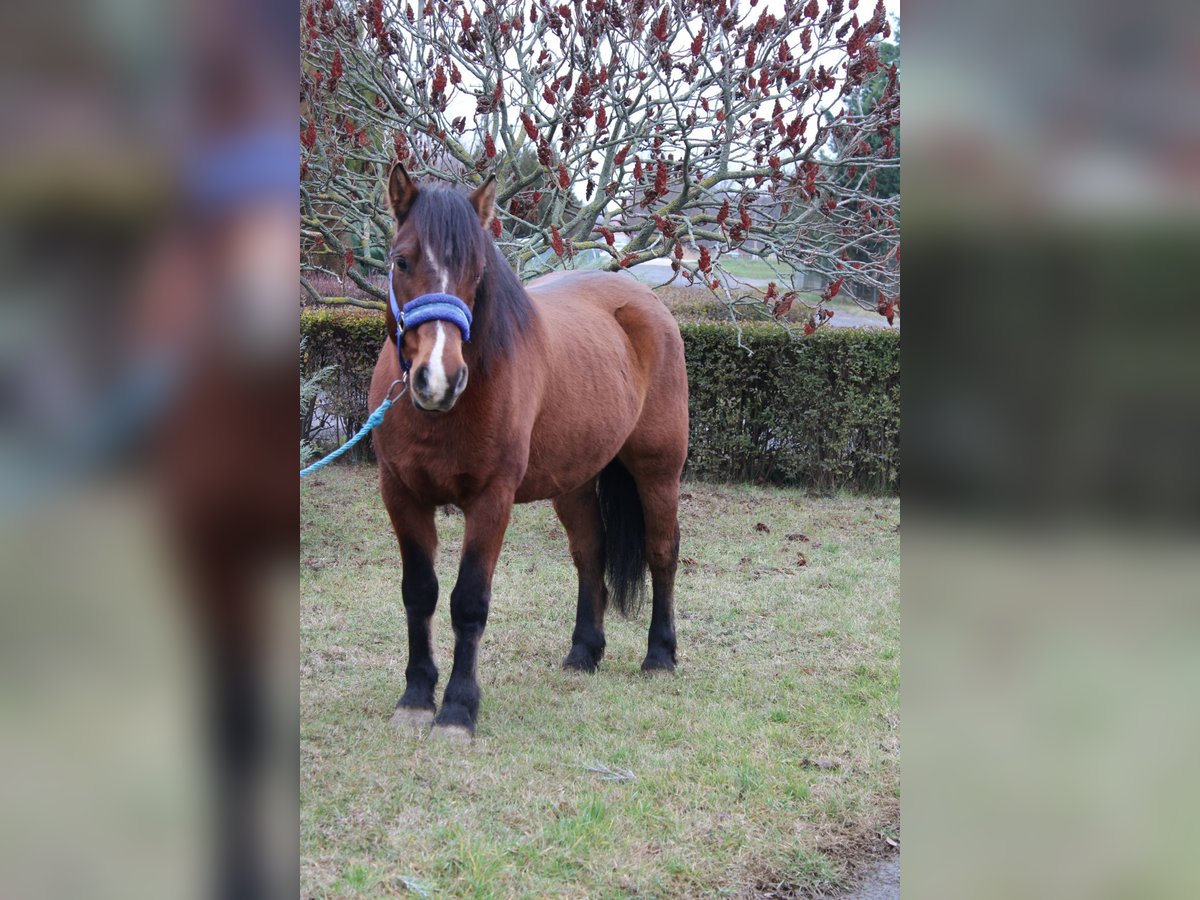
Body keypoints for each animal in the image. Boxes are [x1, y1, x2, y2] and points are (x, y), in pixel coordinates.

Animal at [368, 163, 689, 739]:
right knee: (591, 553)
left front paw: (458, 708)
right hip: (576, 482)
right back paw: (584, 652)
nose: (438, 379)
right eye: (401, 261)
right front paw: (416, 696)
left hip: (658, 472)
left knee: (661, 553)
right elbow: (419, 592)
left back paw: (659, 656)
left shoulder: (491, 501)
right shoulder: (401, 495)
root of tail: (645, 302)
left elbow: (469, 602)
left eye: (477, 272)